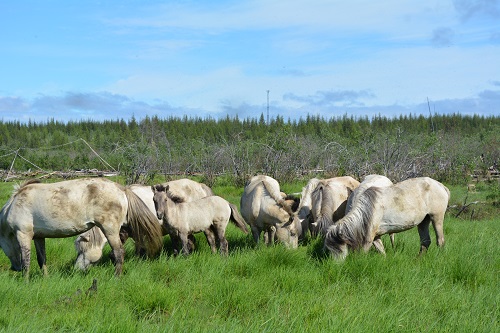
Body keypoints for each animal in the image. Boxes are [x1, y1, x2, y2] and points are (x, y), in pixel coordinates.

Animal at [0, 178, 162, 276]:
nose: (14, 268)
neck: (13, 205)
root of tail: (120, 188)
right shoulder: (39, 237)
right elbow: (42, 259)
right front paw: (45, 278)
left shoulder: (23, 234)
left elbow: (26, 260)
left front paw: (26, 281)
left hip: (110, 230)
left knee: (118, 252)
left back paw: (116, 277)